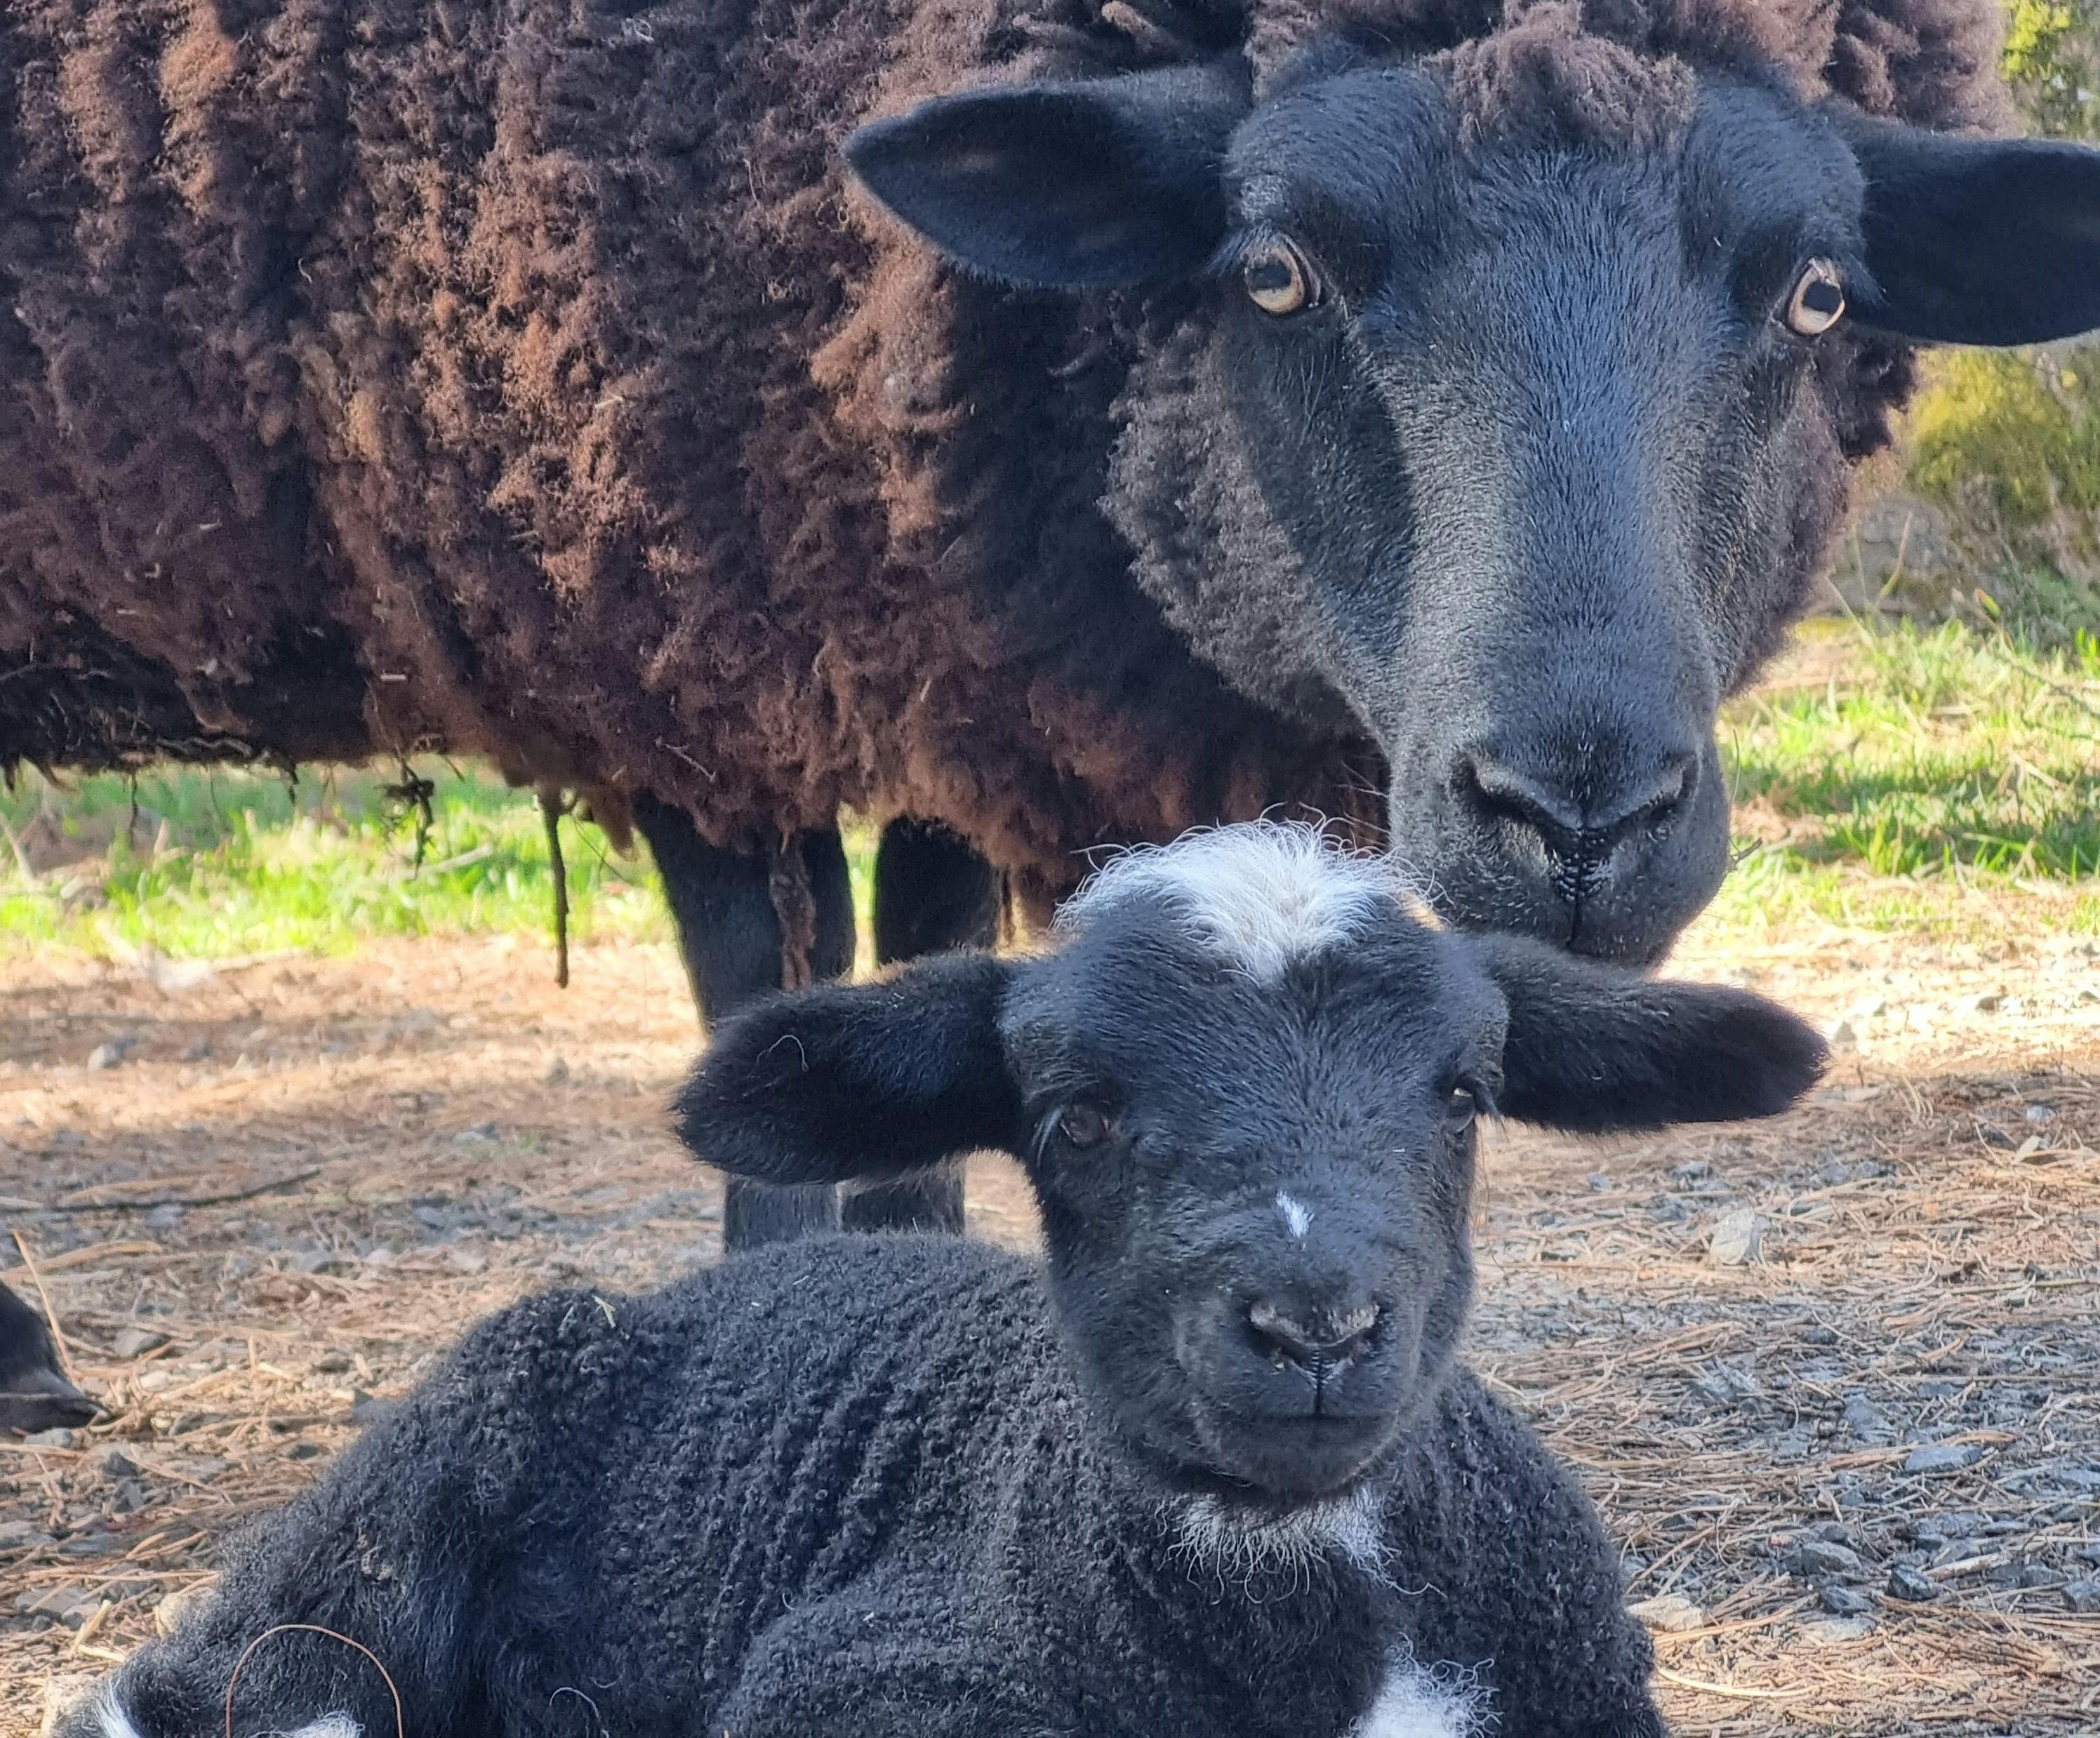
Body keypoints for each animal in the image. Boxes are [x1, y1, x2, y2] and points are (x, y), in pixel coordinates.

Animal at [1, 0, 2095, 1262]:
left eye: (1817, 291)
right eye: (1273, 271)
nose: (1578, 816)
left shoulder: (923, 649)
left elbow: (928, 986)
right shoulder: (665, 630)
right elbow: (770, 1037)